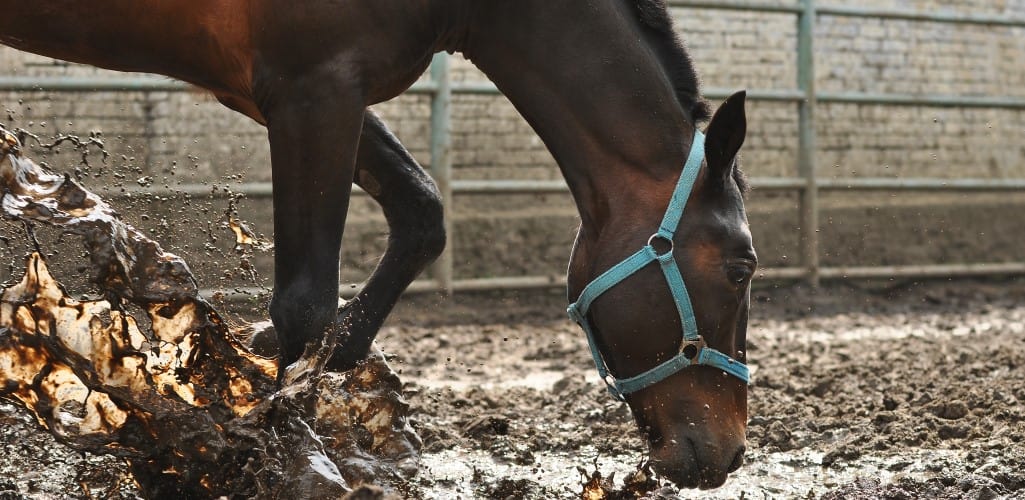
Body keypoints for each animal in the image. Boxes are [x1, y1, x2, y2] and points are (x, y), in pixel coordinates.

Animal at [0, 0, 754, 487]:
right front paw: (295, 459)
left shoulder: (304, 90)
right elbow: (305, 302)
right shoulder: (313, 87)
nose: (728, 452)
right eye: (742, 269)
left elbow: (421, 211)